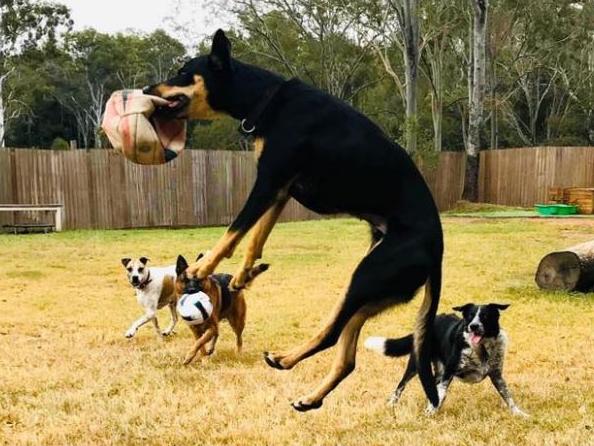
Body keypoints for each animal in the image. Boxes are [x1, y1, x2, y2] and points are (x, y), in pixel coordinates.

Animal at [142, 27, 440, 412]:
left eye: (183, 72)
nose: (146, 90)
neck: (267, 100)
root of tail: (438, 248)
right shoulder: (281, 190)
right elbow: (256, 238)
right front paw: (242, 276)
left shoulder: (268, 181)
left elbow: (235, 231)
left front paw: (203, 267)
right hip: (371, 290)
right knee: (345, 355)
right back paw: (308, 395)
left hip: (367, 276)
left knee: (331, 335)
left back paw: (285, 361)